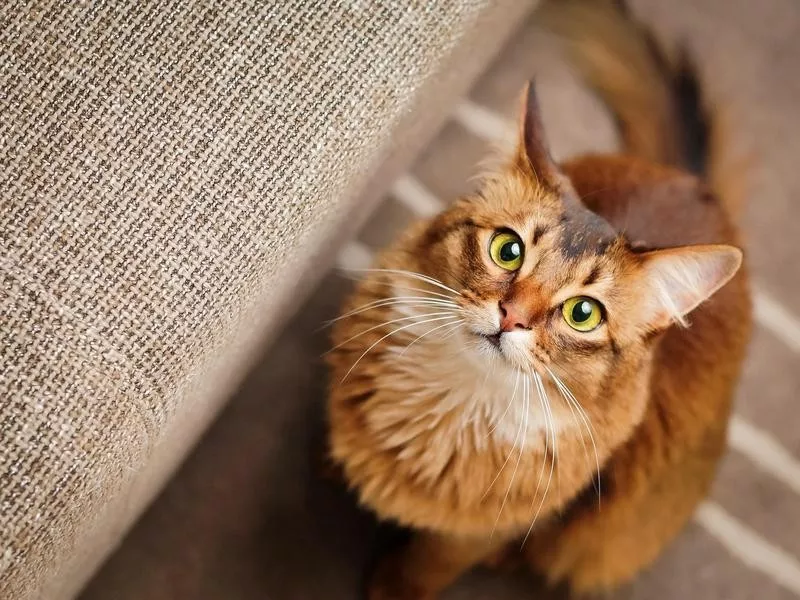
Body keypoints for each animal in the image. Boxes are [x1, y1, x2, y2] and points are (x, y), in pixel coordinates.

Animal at [324, 2, 752, 596]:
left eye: (583, 313)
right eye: (508, 250)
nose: (511, 317)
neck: (457, 406)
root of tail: (695, 183)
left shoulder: (499, 526)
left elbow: (436, 558)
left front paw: (394, 586)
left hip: (608, 538)